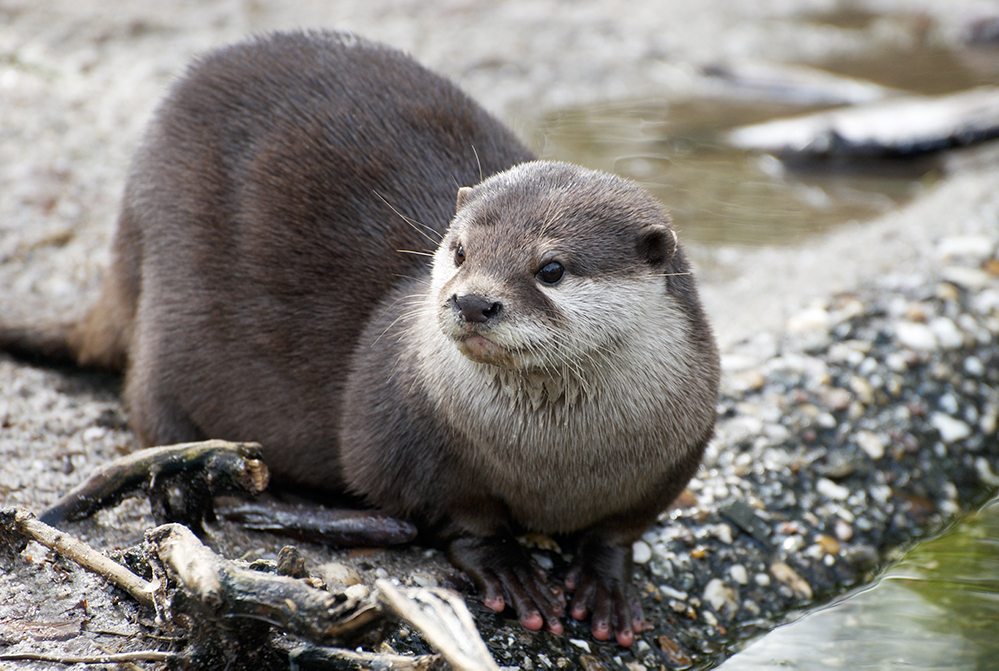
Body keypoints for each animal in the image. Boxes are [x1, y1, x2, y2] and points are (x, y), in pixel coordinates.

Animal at [0, 30, 720, 647]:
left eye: (551, 269)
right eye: (459, 250)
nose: (471, 301)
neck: (556, 461)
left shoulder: (675, 452)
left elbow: (620, 530)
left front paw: (604, 581)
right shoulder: (401, 431)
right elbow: (454, 516)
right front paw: (509, 566)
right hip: (167, 317)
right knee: (161, 422)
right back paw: (276, 503)